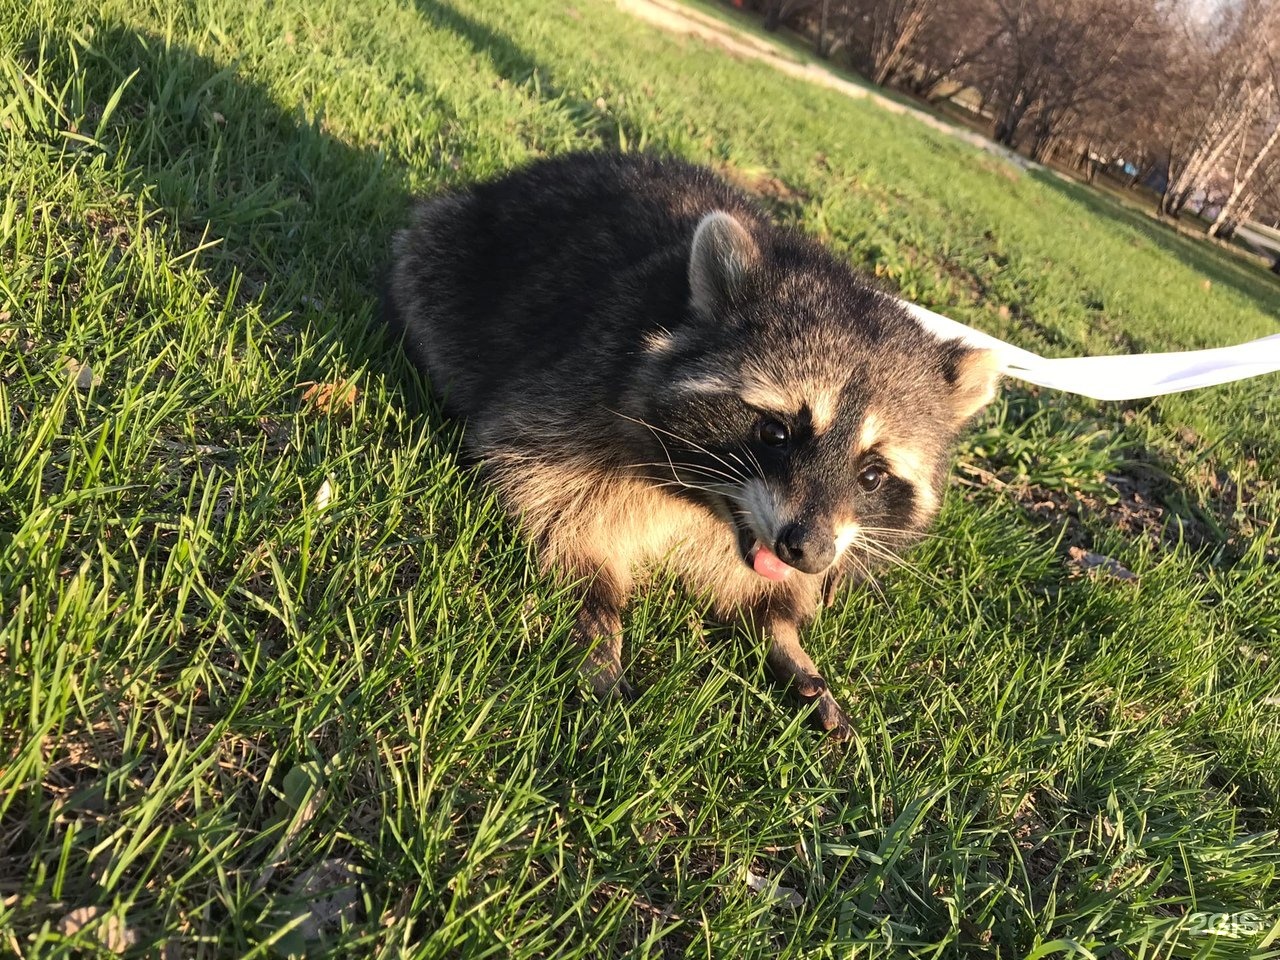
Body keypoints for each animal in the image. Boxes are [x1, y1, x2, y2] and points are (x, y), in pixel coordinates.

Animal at [384, 152, 993, 737]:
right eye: (776, 433)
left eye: (871, 475)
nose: (809, 551)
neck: (706, 506)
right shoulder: (571, 396)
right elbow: (546, 495)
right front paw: (596, 612)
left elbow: (773, 598)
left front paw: (783, 631)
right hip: (448, 256)